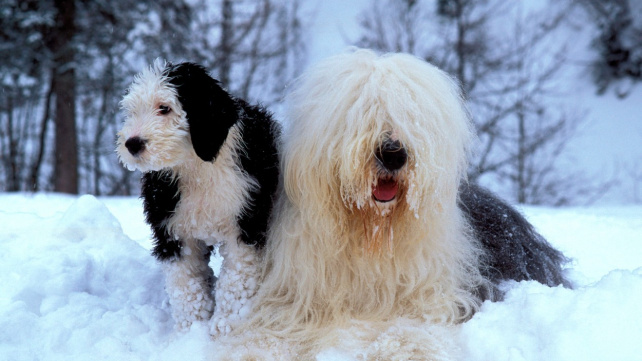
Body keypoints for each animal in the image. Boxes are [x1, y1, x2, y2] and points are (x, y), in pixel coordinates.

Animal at [115, 59, 280, 334]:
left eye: (164, 108)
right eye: (133, 111)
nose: (132, 143)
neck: (199, 169)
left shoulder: (246, 224)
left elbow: (236, 280)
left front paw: (224, 327)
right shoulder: (173, 230)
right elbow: (186, 285)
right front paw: (190, 330)